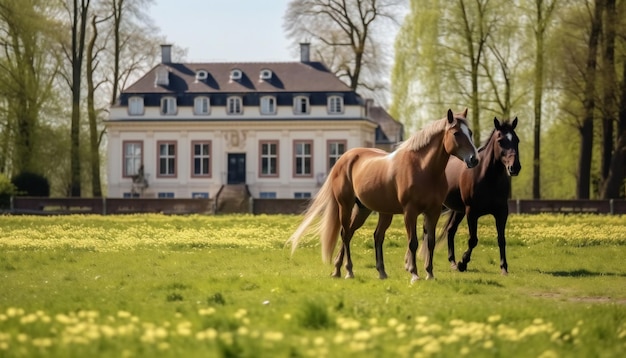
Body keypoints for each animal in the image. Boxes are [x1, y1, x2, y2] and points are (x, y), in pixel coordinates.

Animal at [288, 109, 478, 282]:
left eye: (470, 132)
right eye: (456, 133)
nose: (474, 159)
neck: (423, 168)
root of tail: (344, 159)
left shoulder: (433, 211)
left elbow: (429, 241)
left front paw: (429, 274)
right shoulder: (410, 212)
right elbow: (413, 242)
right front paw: (414, 274)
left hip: (368, 210)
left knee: (365, 235)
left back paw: (359, 271)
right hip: (346, 205)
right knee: (345, 234)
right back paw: (348, 271)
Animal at [438, 117, 520, 274]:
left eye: (517, 140)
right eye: (500, 141)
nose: (515, 167)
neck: (487, 177)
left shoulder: (502, 212)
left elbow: (501, 239)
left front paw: (504, 267)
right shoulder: (472, 212)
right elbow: (473, 240)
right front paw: (463, 263)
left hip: (458, 211)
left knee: (450, 230)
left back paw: (452, 262)